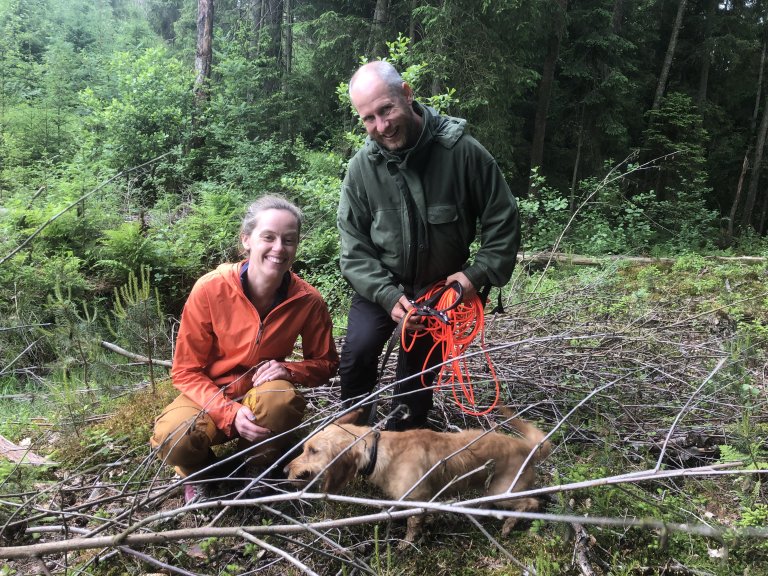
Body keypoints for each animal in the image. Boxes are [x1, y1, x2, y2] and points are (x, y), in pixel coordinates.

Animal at [284, 410, 552, 544]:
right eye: (304, 448)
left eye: (313, 451)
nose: (285, 470)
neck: (378, 450)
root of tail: (529, 447)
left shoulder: (418, 497)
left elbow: (412, 526)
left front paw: (406, 545)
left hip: (503, 492)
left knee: (532, 502)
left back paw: (510, 526)